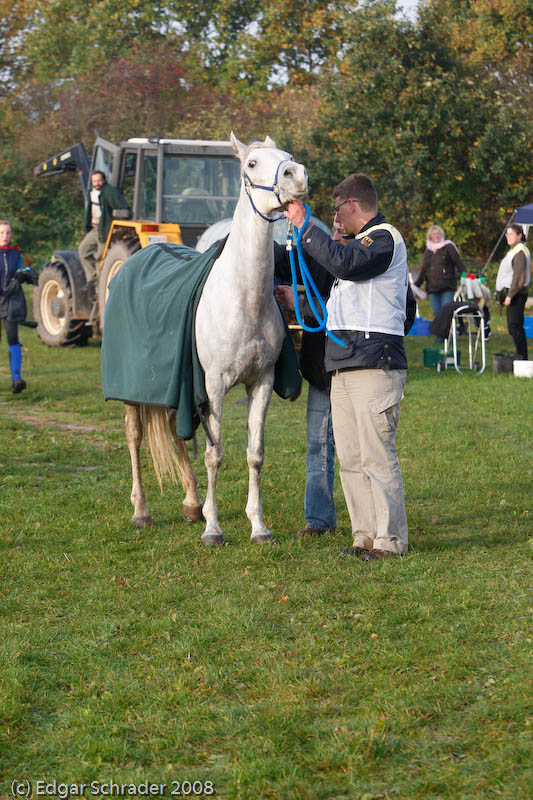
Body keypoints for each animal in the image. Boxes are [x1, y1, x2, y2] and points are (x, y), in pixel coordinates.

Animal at [124, 134, 308, 544]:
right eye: (252, 163)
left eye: (287, 157)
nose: (298, 176)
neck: (244, 299)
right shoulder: (213, 384)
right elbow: (214, 454)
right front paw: (213, 529)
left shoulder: (262, 381)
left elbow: (255, 453)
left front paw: (258, 526)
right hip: (132, 396)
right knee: (135, 438)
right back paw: (141, 511)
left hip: (175, 386)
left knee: (176, 432)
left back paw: (192, 503)